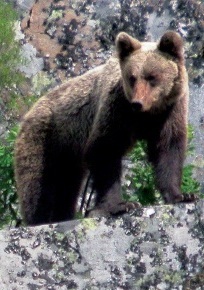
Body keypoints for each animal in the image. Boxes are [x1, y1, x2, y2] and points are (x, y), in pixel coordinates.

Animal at [14, 31, 196, 227]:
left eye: (152, 76)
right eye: (132, 77)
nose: (137, 103)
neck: (147, 114)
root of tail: (32, 108)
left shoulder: (170, 113)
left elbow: (168, 150)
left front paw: (181, 195)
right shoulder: (116, 110)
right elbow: (105, 151)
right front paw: (120, 205)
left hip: (68, 153)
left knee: (66, 187)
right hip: (46, 138)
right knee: (38, 186)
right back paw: (39, 220)